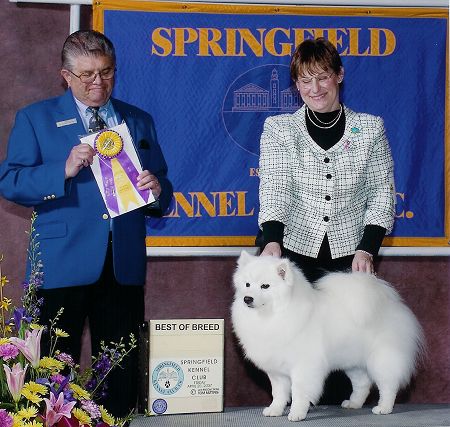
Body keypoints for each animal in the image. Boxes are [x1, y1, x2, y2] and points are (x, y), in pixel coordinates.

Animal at [232, 252, 426, 422]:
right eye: (247, 284)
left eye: (265, 286)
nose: (247, 298)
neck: (274, 315)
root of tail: (391, 304)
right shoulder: (277, 370)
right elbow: (278, 392)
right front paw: (275, 410)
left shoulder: (304, 367)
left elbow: (299, 392)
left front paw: (297, 414)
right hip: (353, 362)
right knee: (362, 384)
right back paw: (354, 403)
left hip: (382, 359)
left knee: (388, 385)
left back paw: (384, 408)